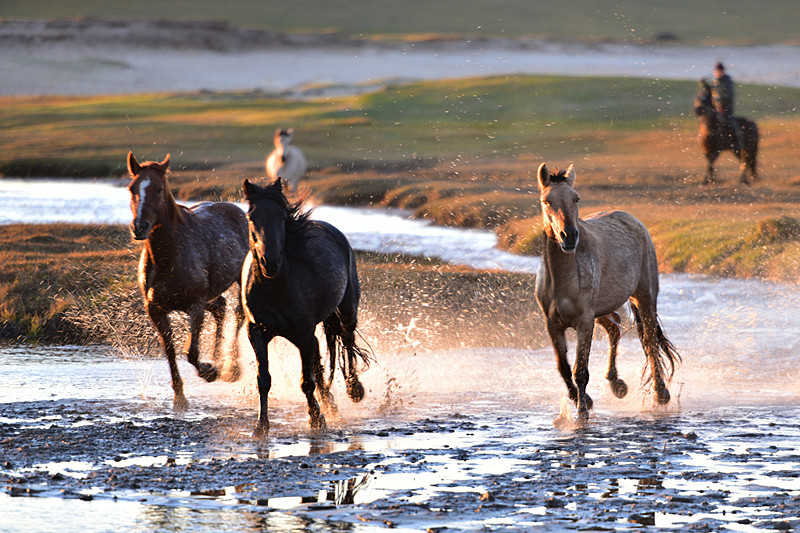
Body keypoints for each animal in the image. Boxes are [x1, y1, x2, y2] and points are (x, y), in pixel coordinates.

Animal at [127, 152, 250, 410]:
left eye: (159, 189)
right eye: (132, 188)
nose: (139, 227)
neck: (168, 256)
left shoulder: (195, 304)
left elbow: (191, 352)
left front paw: (210, 371)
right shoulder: (155, 308)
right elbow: (170, 350)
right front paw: (180, 397)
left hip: (240, 281)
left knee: (238, 313)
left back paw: (230, 368)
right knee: (221, 307)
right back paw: (217, 359)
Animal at [242, 177, 370, 434]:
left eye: (282, 218)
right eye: (251, 218)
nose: (270, 262)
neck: (274, 288)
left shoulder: (302, 334)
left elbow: (306, 381)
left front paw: (316, 420)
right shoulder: (257, 332)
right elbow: (264, 380)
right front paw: (261, 426)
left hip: (346, 311)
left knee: (347, 341)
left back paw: (354, 390)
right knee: (320, 361)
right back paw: (331, 405)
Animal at [536, 162, 680, 420]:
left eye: (576, 198)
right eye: (546, 201)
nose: (569, 236)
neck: (562, 280)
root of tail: (632, 219)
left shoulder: (584, 322)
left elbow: (580, 370)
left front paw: (582, 413)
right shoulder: (553, 324)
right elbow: (563, 368)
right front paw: (583, 400)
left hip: (644, 298)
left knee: (650, 342)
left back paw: (661, 394)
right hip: (602, 310)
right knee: (614, 328)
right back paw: (617, 385)